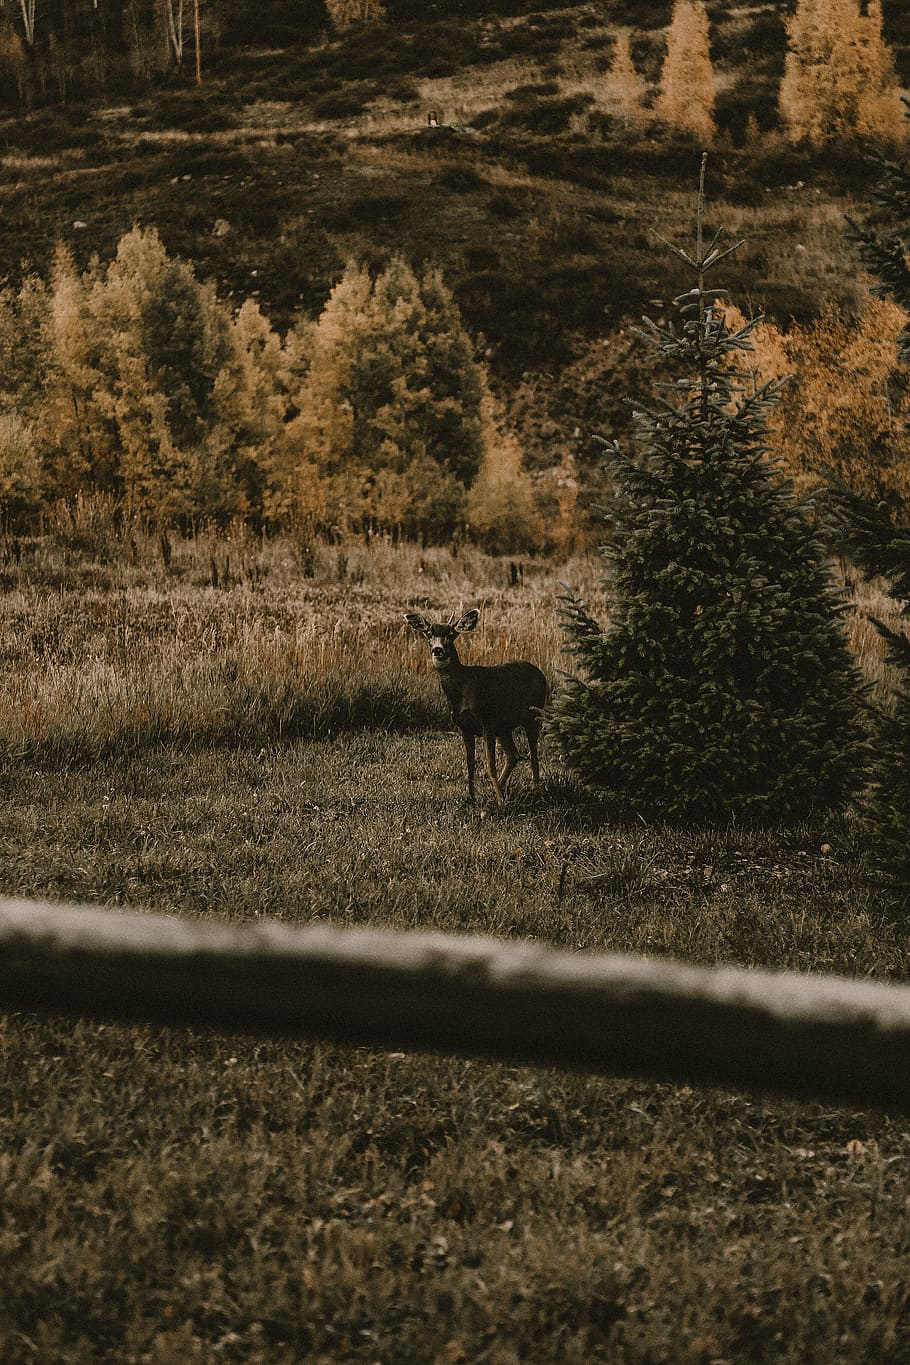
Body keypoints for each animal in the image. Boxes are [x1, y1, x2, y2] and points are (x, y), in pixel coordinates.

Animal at [405, 609, 548, 804]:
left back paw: (535, 791)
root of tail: (540, 673)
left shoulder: (486, 720)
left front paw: (500, 802)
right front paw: (472, 798)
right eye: (428, 634)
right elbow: (470, 764)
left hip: (533, 715)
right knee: (513, 756)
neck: (462, 689)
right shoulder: (464, 727)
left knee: (533, 755)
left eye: (451, 634)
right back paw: (499, 790)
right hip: (504, 727)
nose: (438, 650)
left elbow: (490, 764)